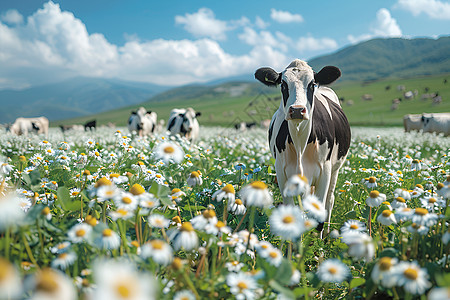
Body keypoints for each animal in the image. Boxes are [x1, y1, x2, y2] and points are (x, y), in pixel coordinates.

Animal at [255, 59, 350, 232]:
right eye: (283, 84)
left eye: (312, 84)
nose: (298, 110)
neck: (300, 142)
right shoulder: (282, 172)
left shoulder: (325, 171)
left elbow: (319, 218)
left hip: (335, 169)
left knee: (330, 200)